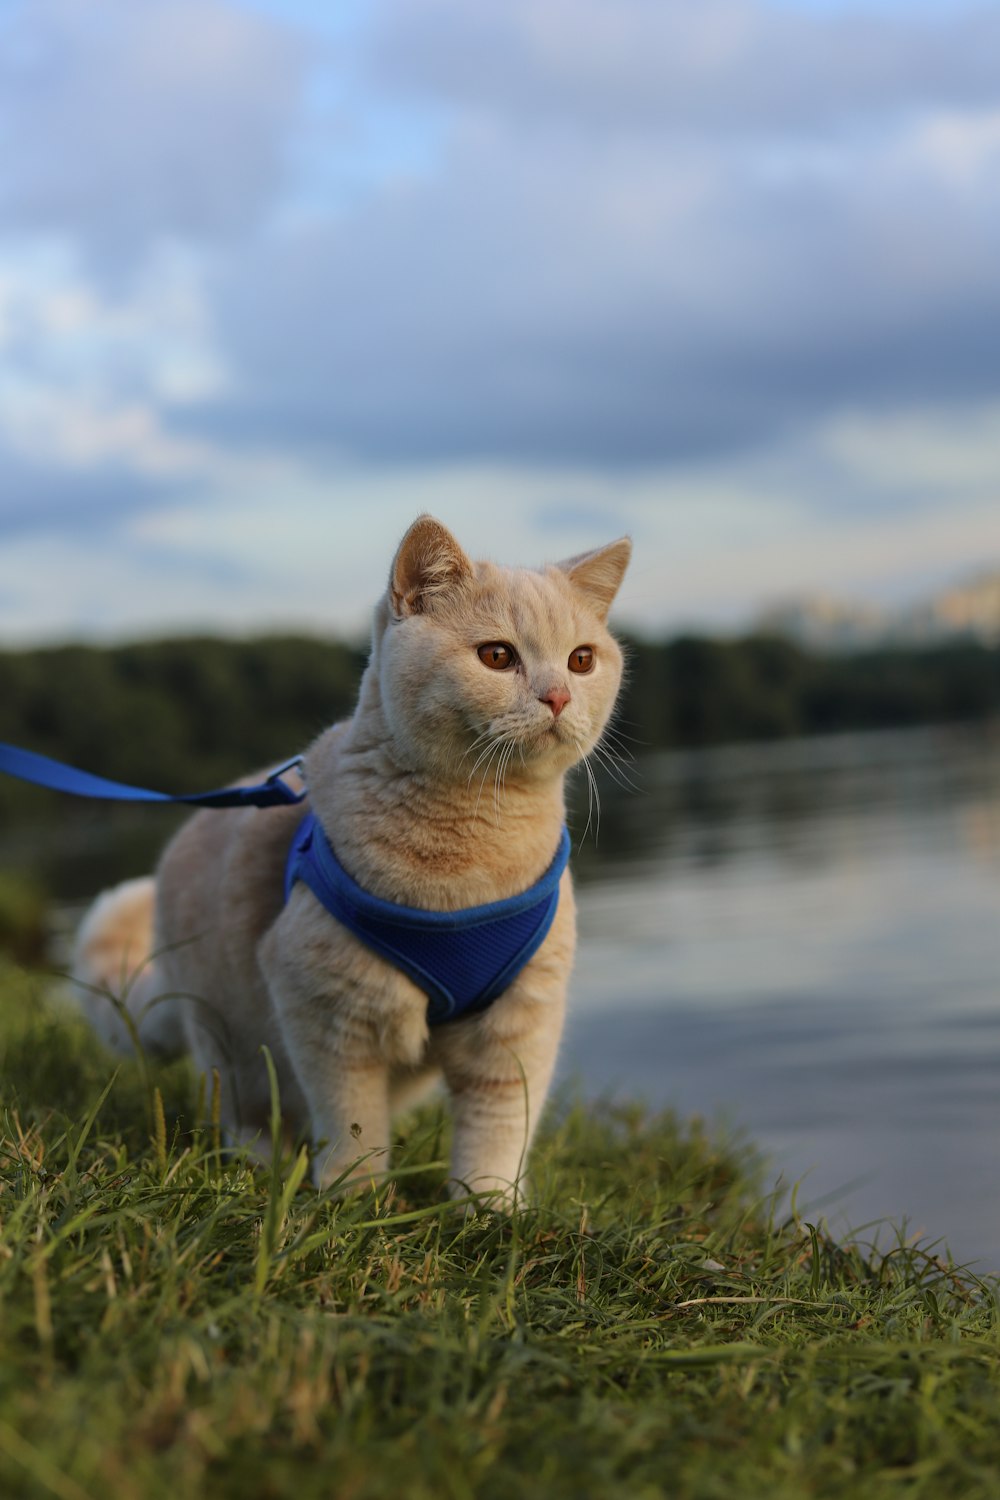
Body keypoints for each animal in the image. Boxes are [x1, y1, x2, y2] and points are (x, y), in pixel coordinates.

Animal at [74, 516, 629, 1206]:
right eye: (498, 656)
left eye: (582, 660)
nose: (556, 696)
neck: (475, 852)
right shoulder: (327, 1014)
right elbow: (351, 1120)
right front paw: (355, 1202)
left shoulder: (520, 1022)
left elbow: (499, 1127)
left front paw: (490, 1209)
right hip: (228, 1037)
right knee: (246, 1112)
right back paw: (257, 1170)